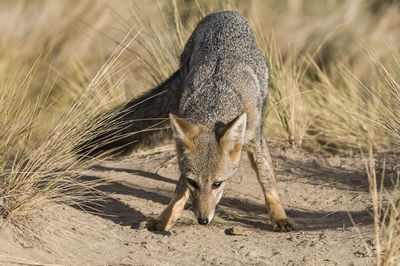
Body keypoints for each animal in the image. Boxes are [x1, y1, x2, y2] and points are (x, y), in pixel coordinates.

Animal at [78, 10, 294, 231]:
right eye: (194, 183)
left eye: (217, 184)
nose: (203, 220)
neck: (215, 103)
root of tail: (224, 13)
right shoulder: (186, 170)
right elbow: (178, 193)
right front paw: (164, 219)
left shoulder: (254, 138)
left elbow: (267, 178)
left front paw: (279, 217)